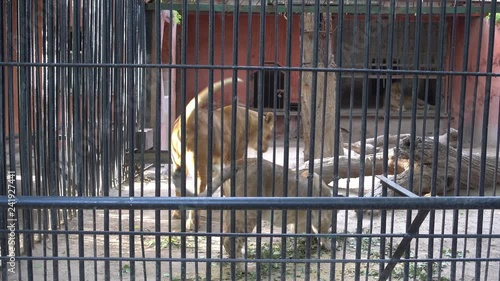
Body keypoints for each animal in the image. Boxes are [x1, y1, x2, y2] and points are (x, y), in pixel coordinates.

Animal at [173, 159, 336, 270]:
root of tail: (239, 163)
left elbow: (299, 231)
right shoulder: (322, 217)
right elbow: (322, 233)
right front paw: (329, 245)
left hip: (231, 211)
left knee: (226, 236)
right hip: (249, 213)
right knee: (230, 240)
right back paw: (244, 267)